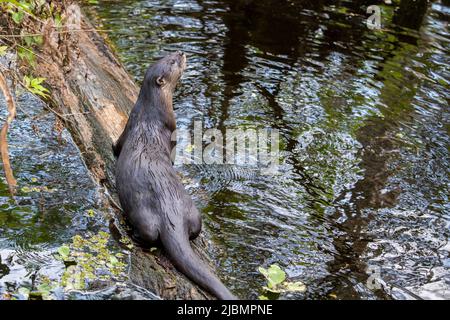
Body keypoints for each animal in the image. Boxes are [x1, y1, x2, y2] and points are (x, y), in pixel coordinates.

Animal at [113, 50, 236, 300]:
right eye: (171, 62)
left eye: (167, 55)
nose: (180, 52)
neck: (150, 115)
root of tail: (172, 215)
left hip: (170, 216)